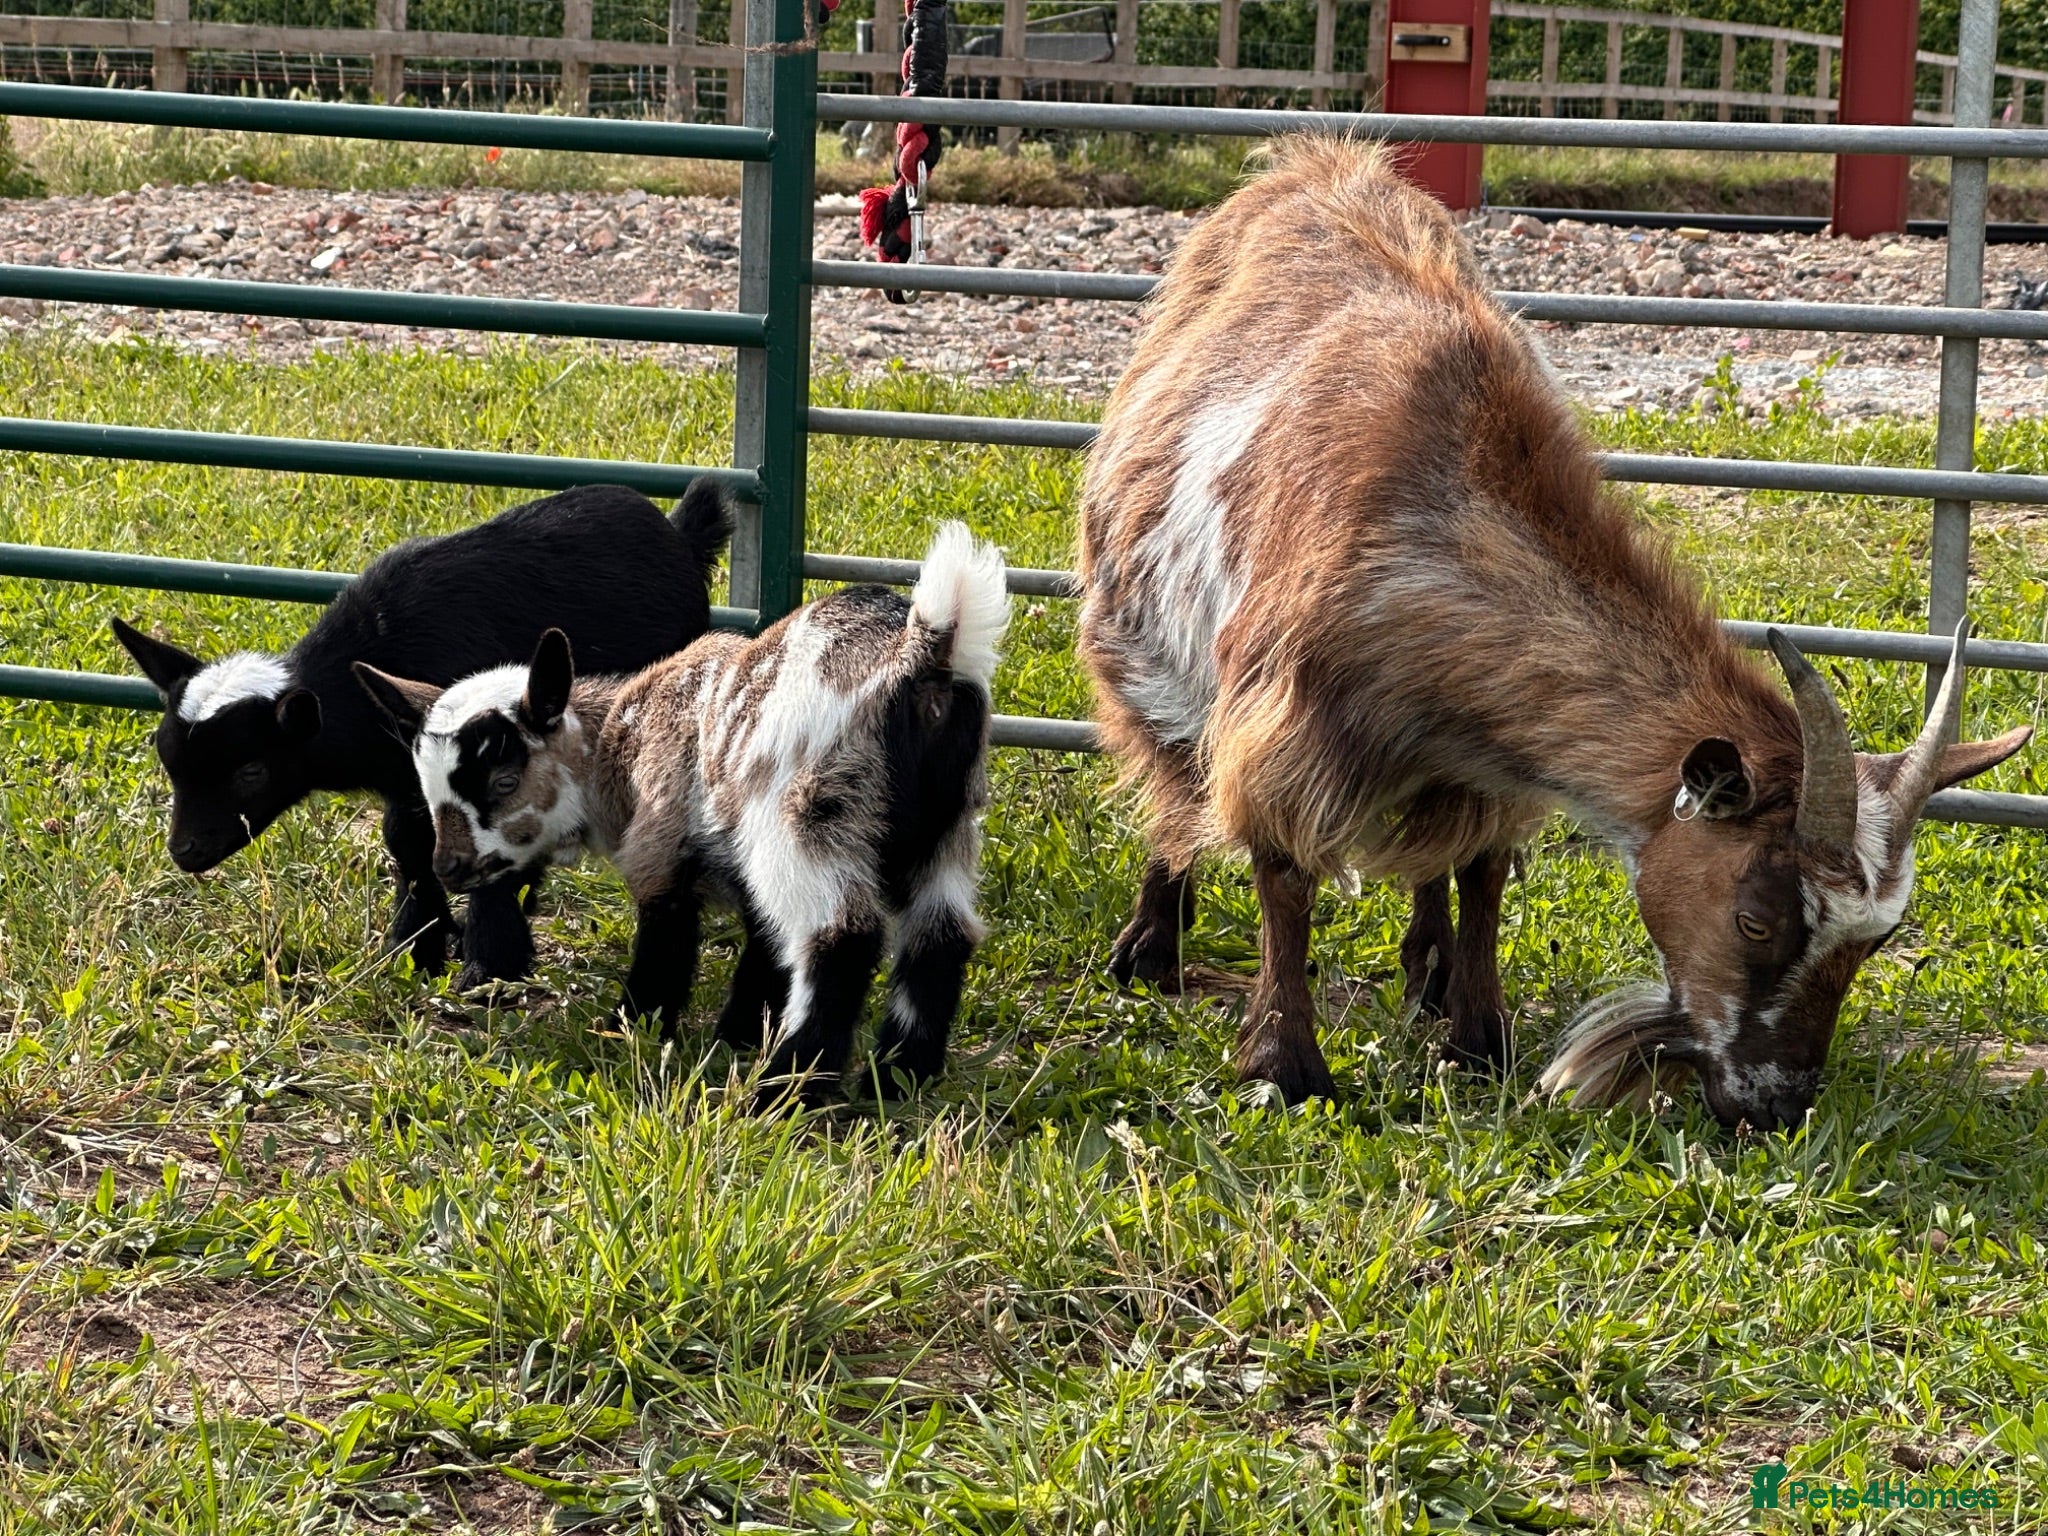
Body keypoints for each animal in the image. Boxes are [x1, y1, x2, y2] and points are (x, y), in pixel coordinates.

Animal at [112, 482, 729, 987]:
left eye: (250, 770)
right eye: (170, 762)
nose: (185, 851)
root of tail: (676, 527)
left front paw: (488, 963)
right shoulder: (410, 777)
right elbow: (406, 840)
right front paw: (417, 945)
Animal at [355, 522, 1009, 1103]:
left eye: (504, 781)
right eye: (427, 788)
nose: (448, 868)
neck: (617, 738)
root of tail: (921, 654)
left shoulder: (661, 846)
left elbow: (666, 942)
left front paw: (628, 1030)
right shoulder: (740, 865)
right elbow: (764, 947)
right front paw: (736, 1032)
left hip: (812, 817)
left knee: (841, 938)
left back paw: (787, 1090)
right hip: (947, 827)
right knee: (941, 936)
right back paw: (900, 1077)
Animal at [1075, 137, 2030, 1131]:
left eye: (1876, 942)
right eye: (1754, 918)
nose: (1773, 1105)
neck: (1441, 511)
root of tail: (1314, 161)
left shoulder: (1481, 747)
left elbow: (1481, 870)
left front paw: (1475, 1037)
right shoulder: (1280, 725)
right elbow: (1282, 878)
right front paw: (1285, 1065)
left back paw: (1427, 969)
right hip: (1139, 643)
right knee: (1172, 783)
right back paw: (1152, 943)